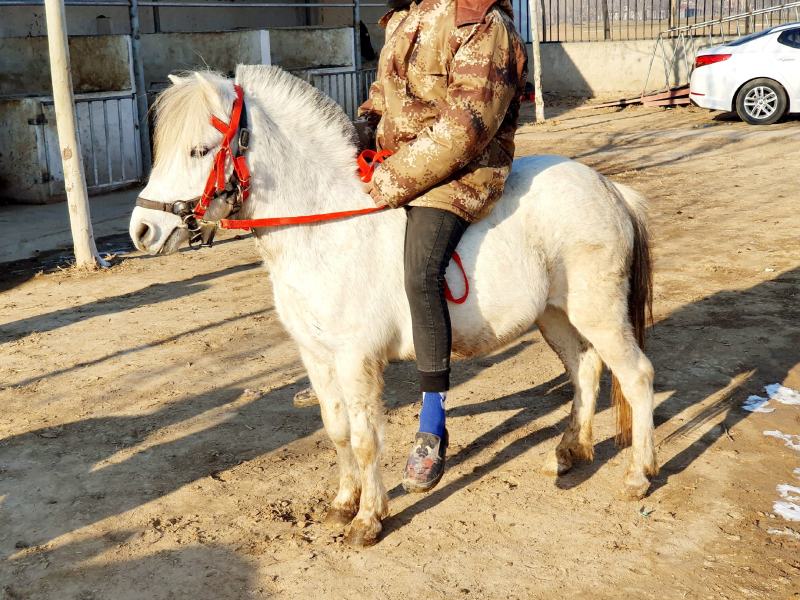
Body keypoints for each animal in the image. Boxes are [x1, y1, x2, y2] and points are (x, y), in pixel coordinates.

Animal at [129, 65, 657, 547]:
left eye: (199, 149)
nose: (142, 231)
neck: (323, 230)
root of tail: (610, 188)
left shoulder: (354, 358)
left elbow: (365, 439)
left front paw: (369, 518)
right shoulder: (316, 356)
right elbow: (337, 430)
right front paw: (343, 503)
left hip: (598, 311)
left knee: (635, 376)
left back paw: (638, 475)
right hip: (555, 315)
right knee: (585, 368)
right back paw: (569, 453)